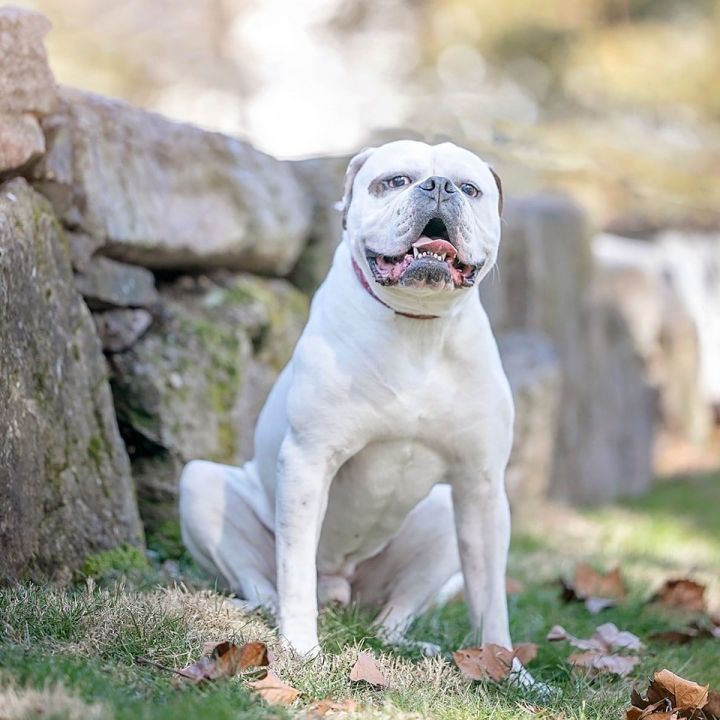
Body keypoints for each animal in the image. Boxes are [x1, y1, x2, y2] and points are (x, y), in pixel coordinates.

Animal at [179, 141, 516, 664]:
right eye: (394, 181)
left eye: (469, 188)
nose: (439, 186)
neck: (418, 327)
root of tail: (339, 589)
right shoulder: (309, 460)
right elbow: (295, 568)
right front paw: (301, 649)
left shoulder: (481, 487)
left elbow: (492, 603)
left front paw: (509, 670)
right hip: (201, 485)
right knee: (263, 582)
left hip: (441, 515)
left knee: (393, 616)